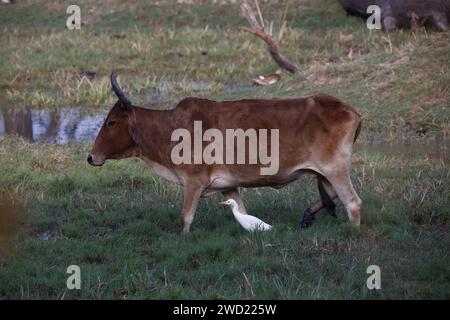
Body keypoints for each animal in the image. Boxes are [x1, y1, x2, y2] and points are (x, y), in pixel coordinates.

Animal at [88, 71, 362, 232]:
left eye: (111, 122)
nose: (91, 157)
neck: (171, 128)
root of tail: (349, 110)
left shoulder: (194, 182)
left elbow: (186, 217)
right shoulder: (228, 186)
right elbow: (243, 213)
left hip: (335, 168)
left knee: (352, 202)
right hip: (327, 172)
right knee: (333, 195)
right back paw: (307, 216)